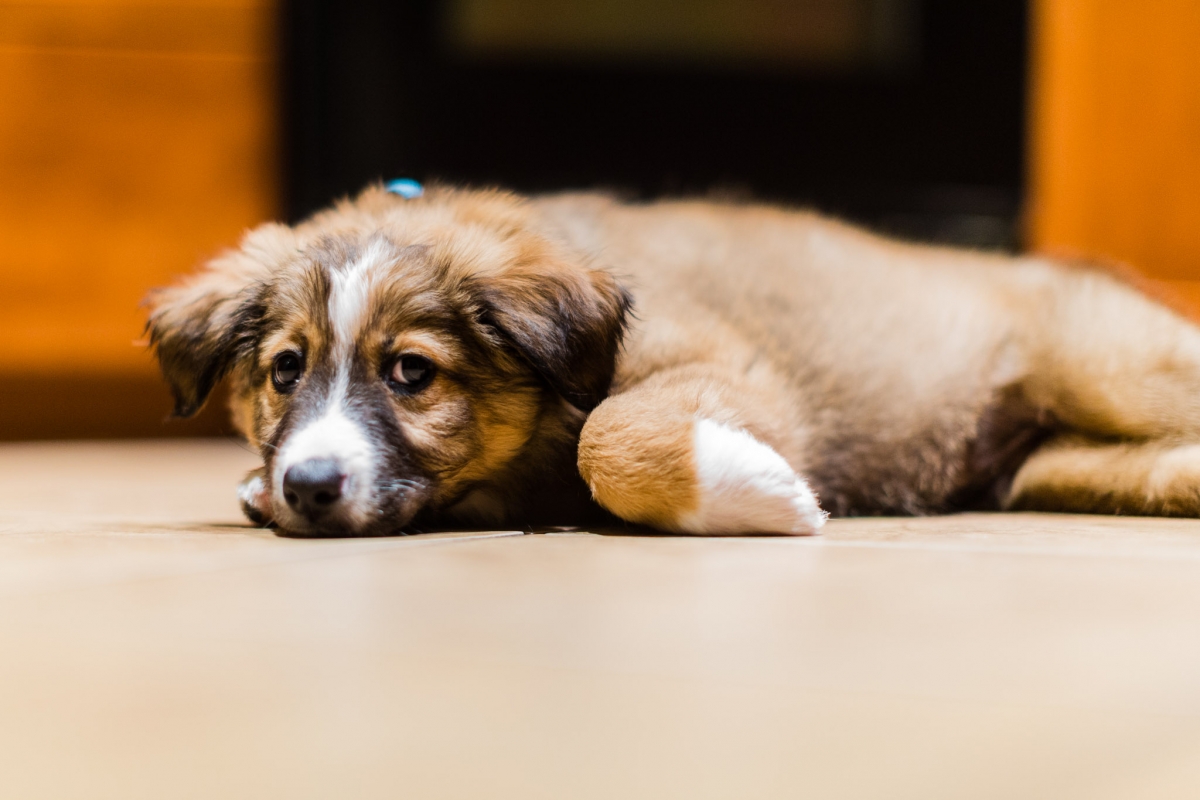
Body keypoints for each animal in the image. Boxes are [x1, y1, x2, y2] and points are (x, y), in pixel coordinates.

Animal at [146, 184, 1200, 536]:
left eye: (412, 372)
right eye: (285, 371)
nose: (310, 486)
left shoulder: (725, 362)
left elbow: (611, 434)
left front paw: (762, 491)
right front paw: (258, 485)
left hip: (1108, 371)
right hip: (1053, 465)